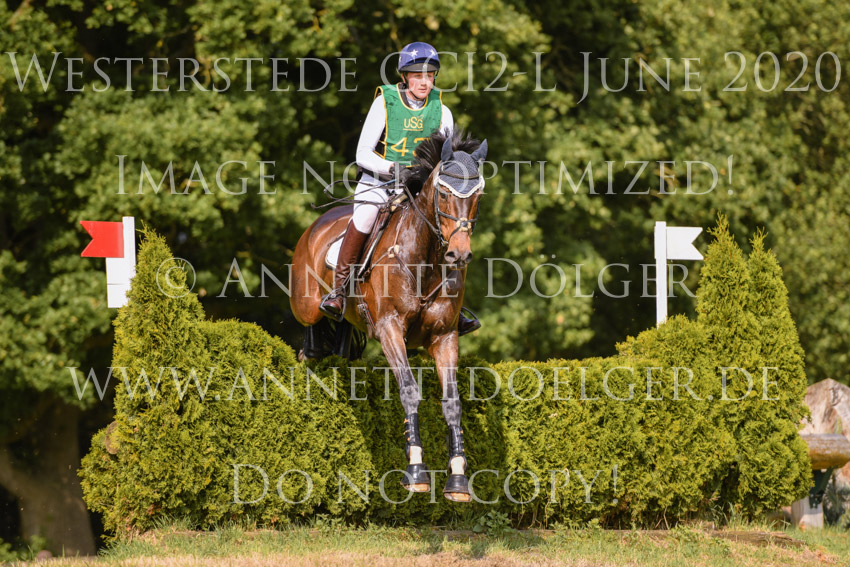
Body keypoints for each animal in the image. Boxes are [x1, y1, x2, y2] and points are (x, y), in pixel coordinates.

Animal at [289, 129, 488, 502]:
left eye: (478, 195)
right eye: (443, 192)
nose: (460, 255)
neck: (426, 260)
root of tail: (316, 225)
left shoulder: (445, 337)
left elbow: (452, 402)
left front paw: (457, 480)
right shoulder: (389, 329)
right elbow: (409, 391)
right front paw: (416, 472)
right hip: (304, 305)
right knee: (309, 334)